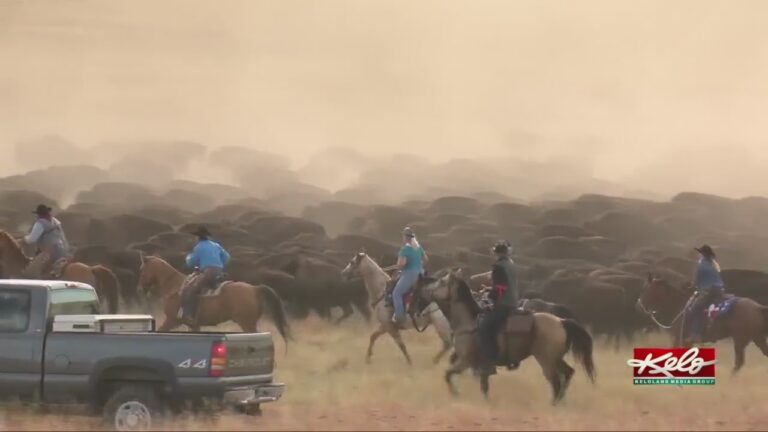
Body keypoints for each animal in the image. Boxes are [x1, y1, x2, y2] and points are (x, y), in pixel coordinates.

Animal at [136, 253, 292, 344]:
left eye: (141, 269)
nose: (139, 289)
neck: (175, 286)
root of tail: (254, 289)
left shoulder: (172, 320)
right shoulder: (193, 324)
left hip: (247, 323)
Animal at [416, 268, 596, 404]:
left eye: (441, 282)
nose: (424, 292)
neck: (468, 321)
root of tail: (561, 321)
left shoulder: (466, 361)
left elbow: (448, 374)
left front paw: (456, 394)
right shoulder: (477, 366)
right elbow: (483, 385)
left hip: (546, 359)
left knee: (556, 381)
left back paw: (553, 404)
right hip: (556, 358)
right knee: (568, 374)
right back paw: (561, 402)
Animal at [632, 274, 768, 372]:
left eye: (645, 289)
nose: (638, 307)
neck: (680, 304)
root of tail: (758, 308)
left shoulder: (679, 339)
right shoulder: (687, 342)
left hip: (740, 340)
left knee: (738, 363)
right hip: (757, 338)